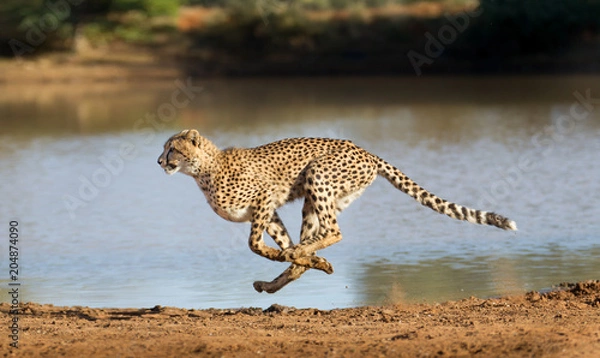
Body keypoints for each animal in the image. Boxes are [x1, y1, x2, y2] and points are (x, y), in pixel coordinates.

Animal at [158, 129, 516, 294]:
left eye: (172, 148)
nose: (160, 161)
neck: (202, 170)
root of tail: (365, 150)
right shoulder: (269, 210)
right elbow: (281, 243)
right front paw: (303, 260)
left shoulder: (264, 197)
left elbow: (255, 244)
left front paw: (287, 255)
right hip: (319, 198)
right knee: (319, 236)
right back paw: (291, 272)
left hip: (317, 174)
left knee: (334, 231)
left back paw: (300, 257)